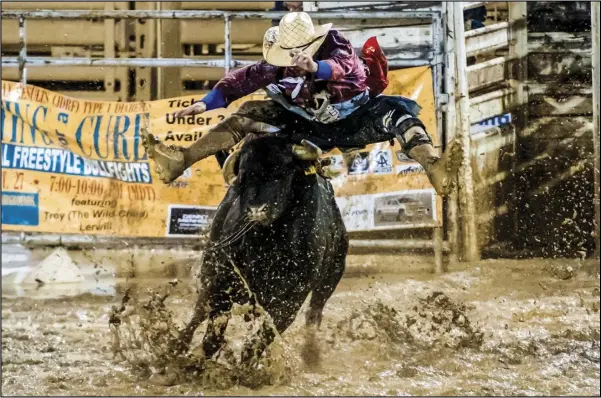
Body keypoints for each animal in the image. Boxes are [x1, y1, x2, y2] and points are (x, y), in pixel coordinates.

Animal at [176, 135, 350, 362]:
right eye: (244, 174)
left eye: (283, 172)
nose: (257, 210)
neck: (268, 245)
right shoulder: (222, 284)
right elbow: (212, 335)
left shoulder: (288, 304)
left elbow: (255, 344)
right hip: (209, 268)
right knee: (198, 312)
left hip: (330, 278)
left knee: (314, 313)